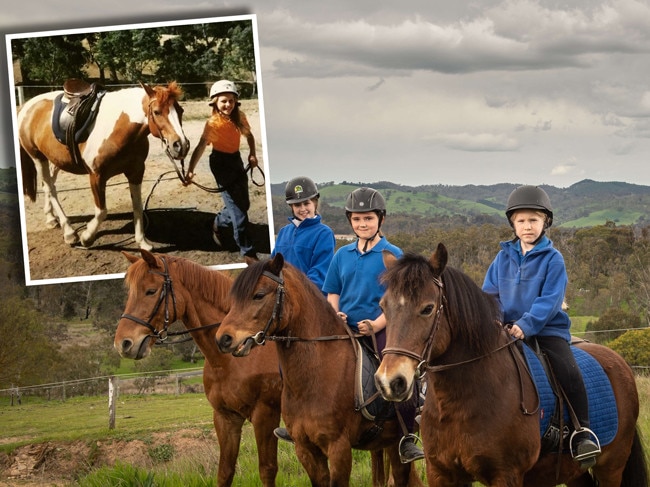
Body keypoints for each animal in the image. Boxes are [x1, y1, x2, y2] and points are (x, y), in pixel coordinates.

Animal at [17, 81, 189, 250]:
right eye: (157, 112)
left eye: (181, 110)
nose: (181, 145)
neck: (119, 129)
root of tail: (27, 106)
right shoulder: (96, 176)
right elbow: (101, 211)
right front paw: (87, 238)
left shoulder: (136, 171)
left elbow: (138, 206)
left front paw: (142, 242)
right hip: (38, 157)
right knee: (50, 188)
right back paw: (69, 232)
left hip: (55, 159)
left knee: (48, 184)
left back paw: (51, 219)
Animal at [114, 252, 280, 487]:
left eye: (151, 291)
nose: (123, 344)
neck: (232, 359)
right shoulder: (226, 418)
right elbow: (225, 472)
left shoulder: (265, 416)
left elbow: (267, 470)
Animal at [214, 255, 426, 487]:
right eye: (234, 299)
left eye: (259, 295)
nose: (223, 339)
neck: (317, 376)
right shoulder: (305, 449)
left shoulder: (339, 448)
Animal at [372, 244, 644, 487]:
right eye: (383, 307)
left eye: (428, 308)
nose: (389, 381)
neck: (459, 402)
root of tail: (619, 361)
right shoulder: (441, 474)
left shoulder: (506, 474)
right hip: (573, 471)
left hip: (611, 468)